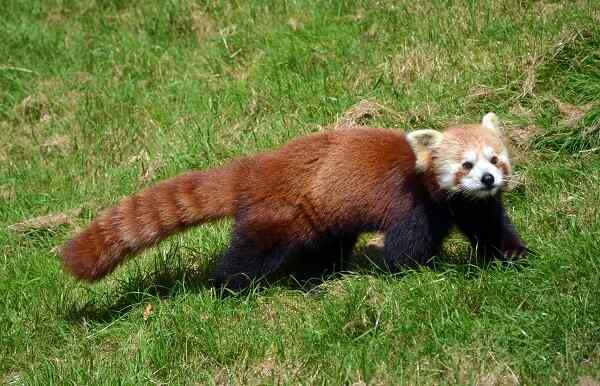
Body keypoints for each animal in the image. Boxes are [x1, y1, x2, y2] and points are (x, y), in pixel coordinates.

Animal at [59, 113, 524, 288]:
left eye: (494, 158)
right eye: (465, 164)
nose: (487, 178)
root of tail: (258, 167)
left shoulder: (469, 204)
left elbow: (490, 226)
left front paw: (515, 256)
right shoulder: (410, 206)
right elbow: (404, 248)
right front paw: (420, 272)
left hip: (323, 216)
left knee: (325, 246)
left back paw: (317, 277)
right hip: (281, 216)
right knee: (250, 254)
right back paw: (225, 288)